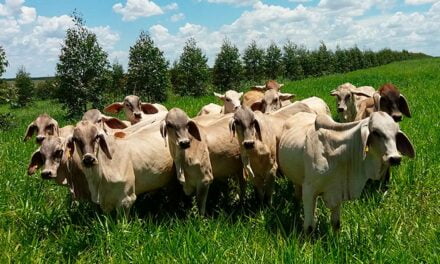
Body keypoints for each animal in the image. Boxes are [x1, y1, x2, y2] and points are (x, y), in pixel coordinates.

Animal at [278, 112, 416, 233]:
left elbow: (336, 223)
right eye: (376, 132)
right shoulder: (309, 190)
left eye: (396, 134)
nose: (395, 158)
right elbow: (309, 227)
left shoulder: (338, 189)